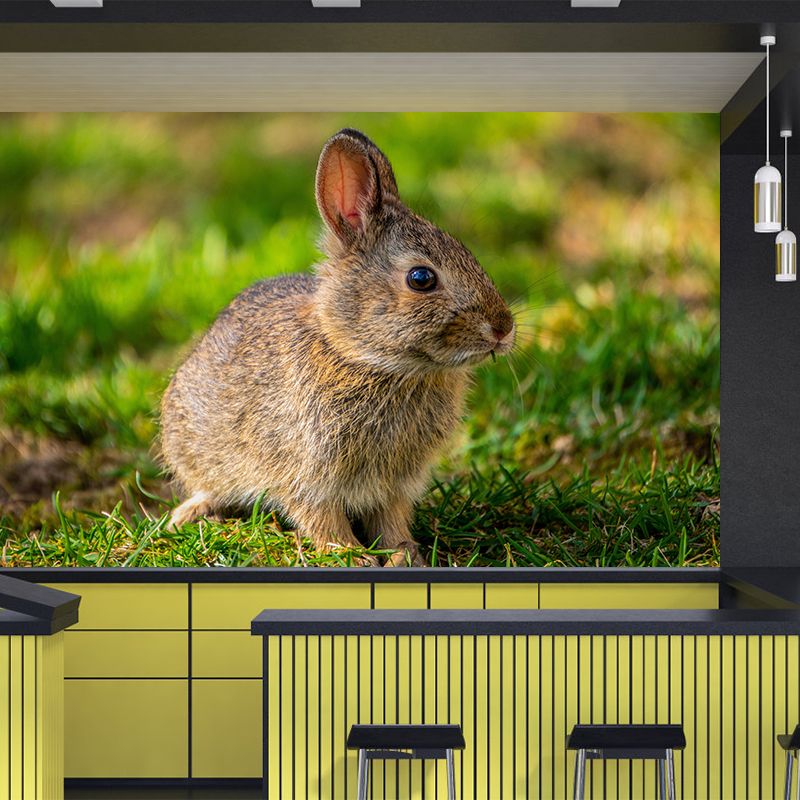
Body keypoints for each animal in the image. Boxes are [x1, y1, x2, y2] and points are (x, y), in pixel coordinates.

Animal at [159, 128, 515, 566]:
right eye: (421, 278)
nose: (503, 328)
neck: (366, 359)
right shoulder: (306, 474)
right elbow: (321, 517)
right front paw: (351, 555)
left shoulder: (395, 484)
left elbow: (392, 519)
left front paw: (404, 555)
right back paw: (190, 514)